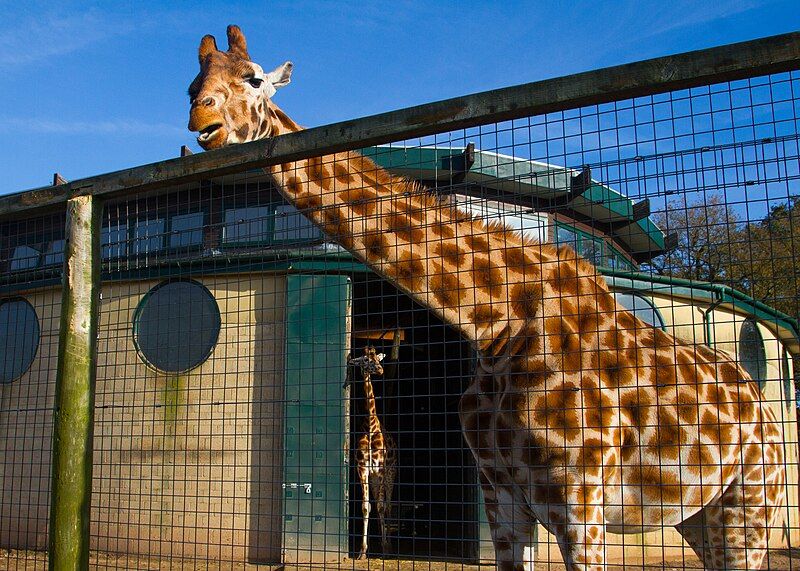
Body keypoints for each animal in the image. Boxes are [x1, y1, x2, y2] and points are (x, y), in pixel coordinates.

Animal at [188, 24, 788, 568]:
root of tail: (762, 404)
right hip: (696, 514)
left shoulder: (581, 503)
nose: (202, 124)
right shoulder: (502, 497)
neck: (500, 322)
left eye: (254, 77)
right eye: (192, 83)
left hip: (750, 502)